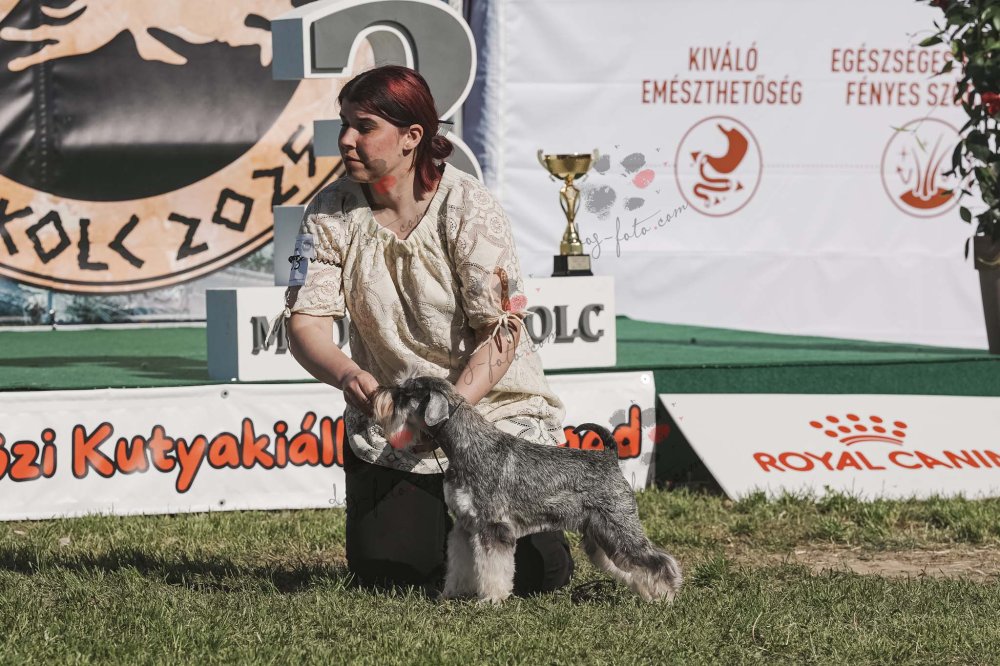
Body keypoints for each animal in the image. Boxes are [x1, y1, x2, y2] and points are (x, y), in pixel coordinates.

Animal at [371, 375, 682, 603]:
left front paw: (490, 600)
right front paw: (452, 593)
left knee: (657, 560)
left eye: (406, 394)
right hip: (601, 534)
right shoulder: (464, 526)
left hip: (620, 526)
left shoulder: (493, 528)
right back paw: (646, 592)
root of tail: (609, 456)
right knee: (625, 564)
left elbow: (493, 569)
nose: (378, 394)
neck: (466, 445)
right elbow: (460, 564)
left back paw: (665, 596)